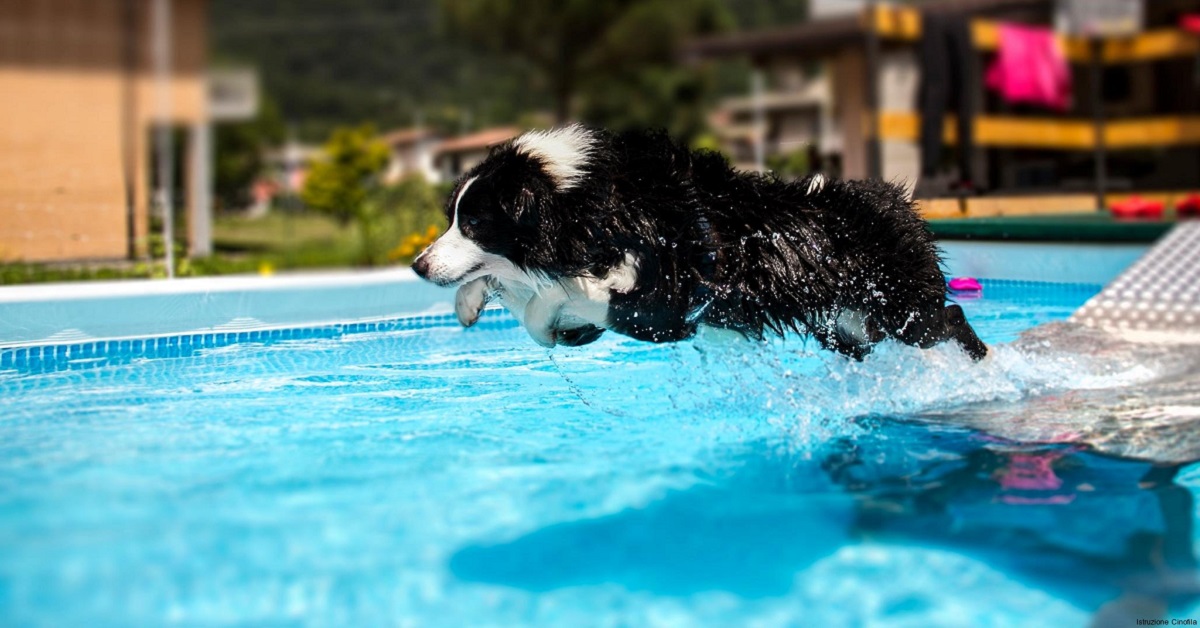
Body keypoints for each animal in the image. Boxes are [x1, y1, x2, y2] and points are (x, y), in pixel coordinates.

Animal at [410, 125, 984, 360]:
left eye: (475, 222)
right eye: (452, 217)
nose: (417, 265)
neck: (589, 203)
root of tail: (900, 202)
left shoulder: (666, 305)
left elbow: (557, 297)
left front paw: (547, 318)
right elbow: (517, 283)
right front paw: (470, 301)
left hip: (900, 308)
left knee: (949, 317)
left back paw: (982, 361)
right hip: (847, 324)